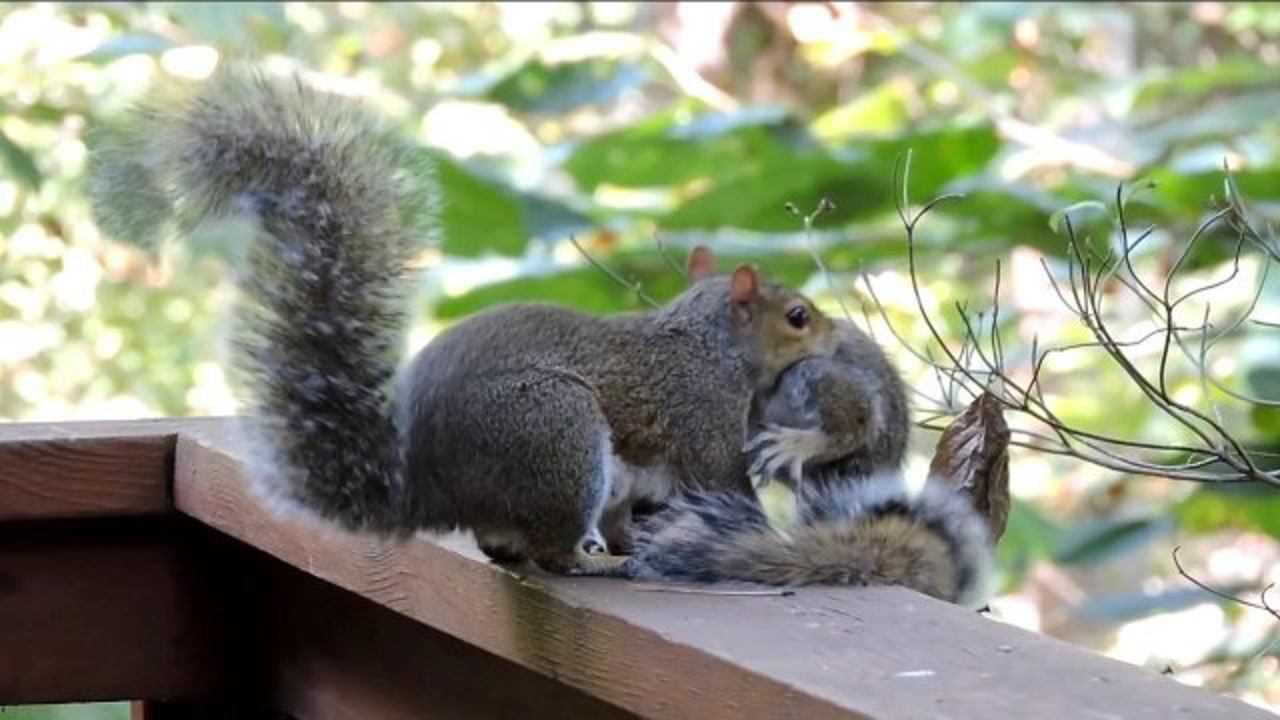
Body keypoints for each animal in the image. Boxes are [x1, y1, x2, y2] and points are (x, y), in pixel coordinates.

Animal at [92, 67, 988, 597]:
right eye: (797, 316)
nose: (838, 338)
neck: (705, 343)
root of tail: (429, 487)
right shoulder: (700, 418)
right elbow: (726, 484)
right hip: (556, 433)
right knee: (553, 551)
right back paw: (608, 563)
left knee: (512, 550)